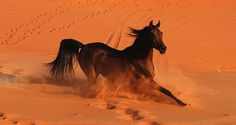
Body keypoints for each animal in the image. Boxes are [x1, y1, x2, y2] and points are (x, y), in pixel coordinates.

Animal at [47, 20, 188, 105]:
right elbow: (165, 91)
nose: (163, 49)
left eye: (161, 33)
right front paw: (182, 103)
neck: (139, 58)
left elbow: (165, 91)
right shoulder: (145, 82)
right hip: (92, 73)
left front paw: (182, 102)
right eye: (152, 34)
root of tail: (84, 46)